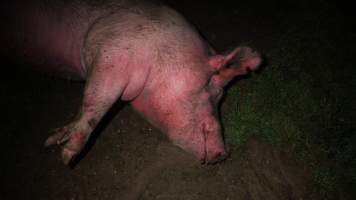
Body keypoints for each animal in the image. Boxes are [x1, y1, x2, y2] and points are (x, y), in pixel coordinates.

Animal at [6, 0, 262, 165]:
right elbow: (96, 101)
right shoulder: (110, 52)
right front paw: (67, 157)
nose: (224, 154)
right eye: (215, 93)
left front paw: (52, 141)